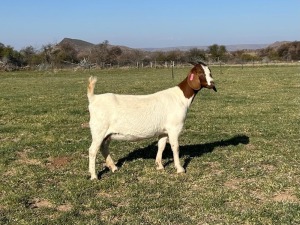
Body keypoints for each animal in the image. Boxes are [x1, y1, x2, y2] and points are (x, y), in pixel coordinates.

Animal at [86, 61, 216, 179]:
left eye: (210, 71)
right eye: (200, 73)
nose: (212, 83)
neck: (180, 97)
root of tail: (93, 98)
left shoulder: (163, 131)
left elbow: (161, 146)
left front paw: (159, 166)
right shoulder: (174, 128)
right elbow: (175, 147)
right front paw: (180, 169)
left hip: (107, 134)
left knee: (103, 147)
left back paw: (113, 167)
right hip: (99, 130)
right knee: (92, 150)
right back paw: (94, 176)